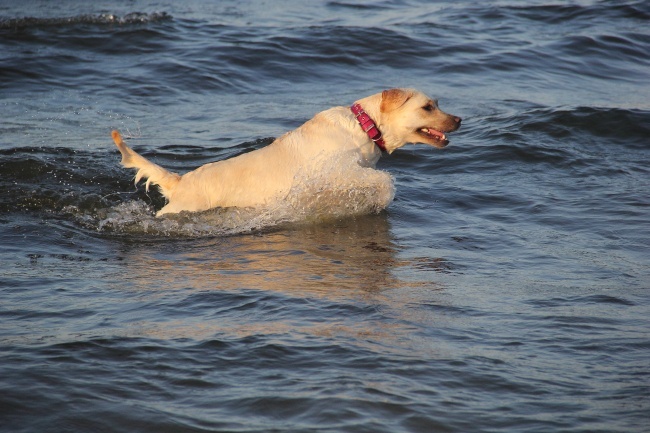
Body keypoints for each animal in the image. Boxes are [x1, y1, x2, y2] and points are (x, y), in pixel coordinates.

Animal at [114, 88, 464, 216]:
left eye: (437, 104)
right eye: (428, 107)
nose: (459, 119)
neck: (365, 125)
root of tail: (180, 182)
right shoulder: (336, 172)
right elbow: (383, 181)